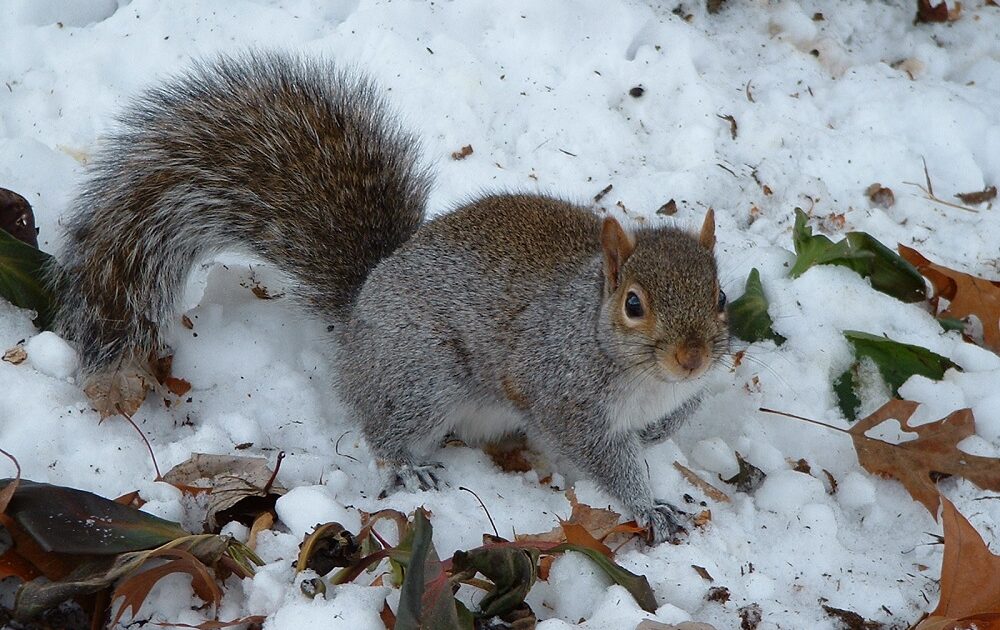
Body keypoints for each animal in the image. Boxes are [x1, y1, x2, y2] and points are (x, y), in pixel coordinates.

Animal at [47, 52, 730, 544]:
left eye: (721, 295)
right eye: (634, 304)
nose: (693, 358)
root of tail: (361, 308)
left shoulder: (687, 395)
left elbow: (666, 424)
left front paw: (655, 446)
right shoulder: (565, 393)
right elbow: (601, 455)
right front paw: (648, 504)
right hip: (423, 373)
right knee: (383, 422)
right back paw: (407, 463)